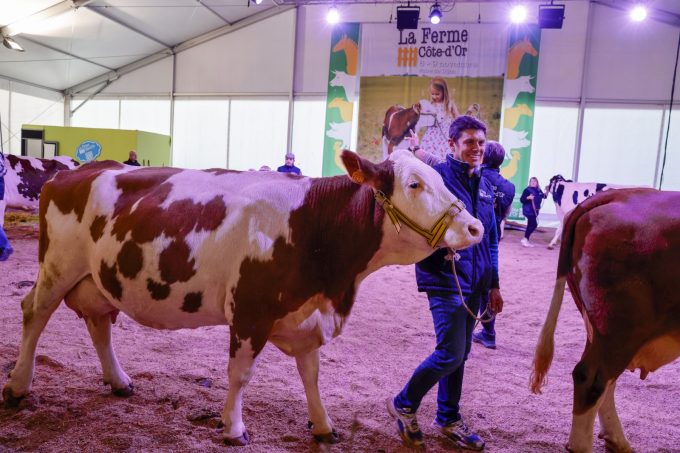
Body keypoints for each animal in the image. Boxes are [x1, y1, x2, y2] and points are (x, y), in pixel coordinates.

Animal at [2, 150, 486, 444]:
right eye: (415, 185)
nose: (476, 227)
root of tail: (74, 171)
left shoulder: (306, 315)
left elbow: (311, 376)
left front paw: (323, 426)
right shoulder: (250, 312)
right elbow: (240, 374)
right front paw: (233, 428)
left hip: (98, 278)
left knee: (99, 323)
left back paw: (119, 381)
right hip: (58, 268)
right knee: (34, 313)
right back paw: (18, 386)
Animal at [532, 188, 680, 452]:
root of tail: (619, 193)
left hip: (601, 330)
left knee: (605, 382)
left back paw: (617, 439)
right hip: (620, 328)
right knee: (592, 379)